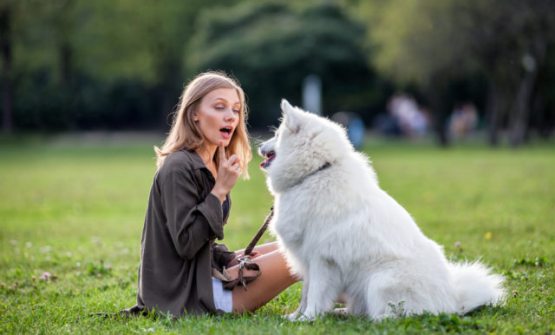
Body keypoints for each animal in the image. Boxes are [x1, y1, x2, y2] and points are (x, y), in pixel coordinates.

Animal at [258, 100, 506, 322]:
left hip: (380, 280)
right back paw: (342, 312)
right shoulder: (305, 257)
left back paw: (376, 319)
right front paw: (295, 317)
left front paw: (308, 318)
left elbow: (316, 294)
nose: (259, 145)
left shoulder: (321, 258)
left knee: (400, 313)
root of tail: (453, 302)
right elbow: (305, 293)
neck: (316, 172)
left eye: (277, 135)